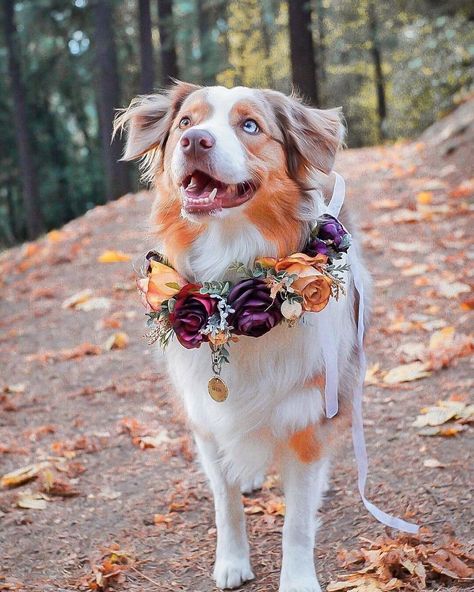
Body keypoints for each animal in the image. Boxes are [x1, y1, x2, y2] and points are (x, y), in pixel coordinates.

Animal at [115, 83, 370, 592]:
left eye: (250, 125)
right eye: (186, 122)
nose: (195, 141)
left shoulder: (305, 410)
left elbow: (296, 523)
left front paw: (297, 579)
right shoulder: (206, 417)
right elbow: (226, 502)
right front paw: (232, 561)